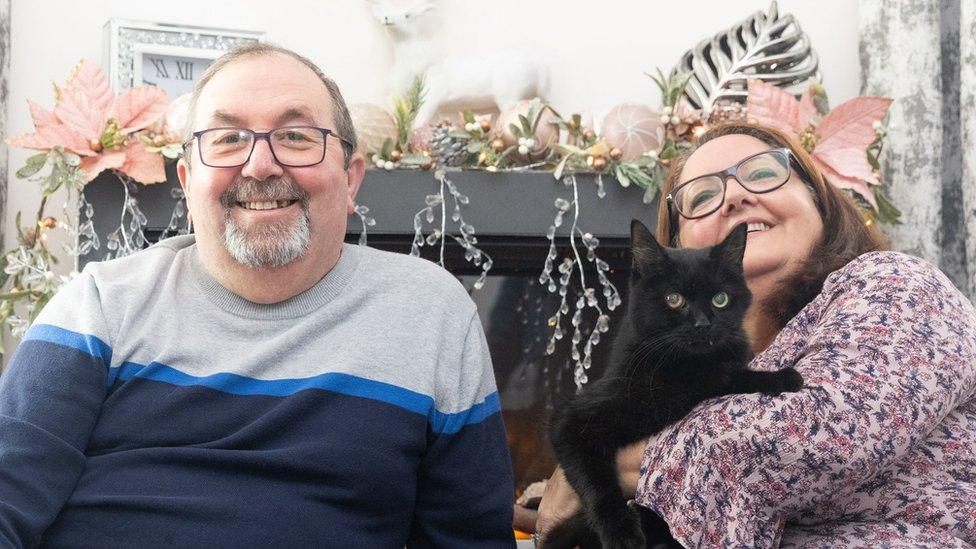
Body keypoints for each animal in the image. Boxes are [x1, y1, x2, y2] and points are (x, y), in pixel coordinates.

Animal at [544, 219, 804, 548]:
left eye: (720, 299)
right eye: (673, 299)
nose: (703, 324)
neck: (680, 370)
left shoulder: (710, 379)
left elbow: (729, 377)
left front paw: (779, 376)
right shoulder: (571, 422)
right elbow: (596, 481)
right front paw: (621, 533)